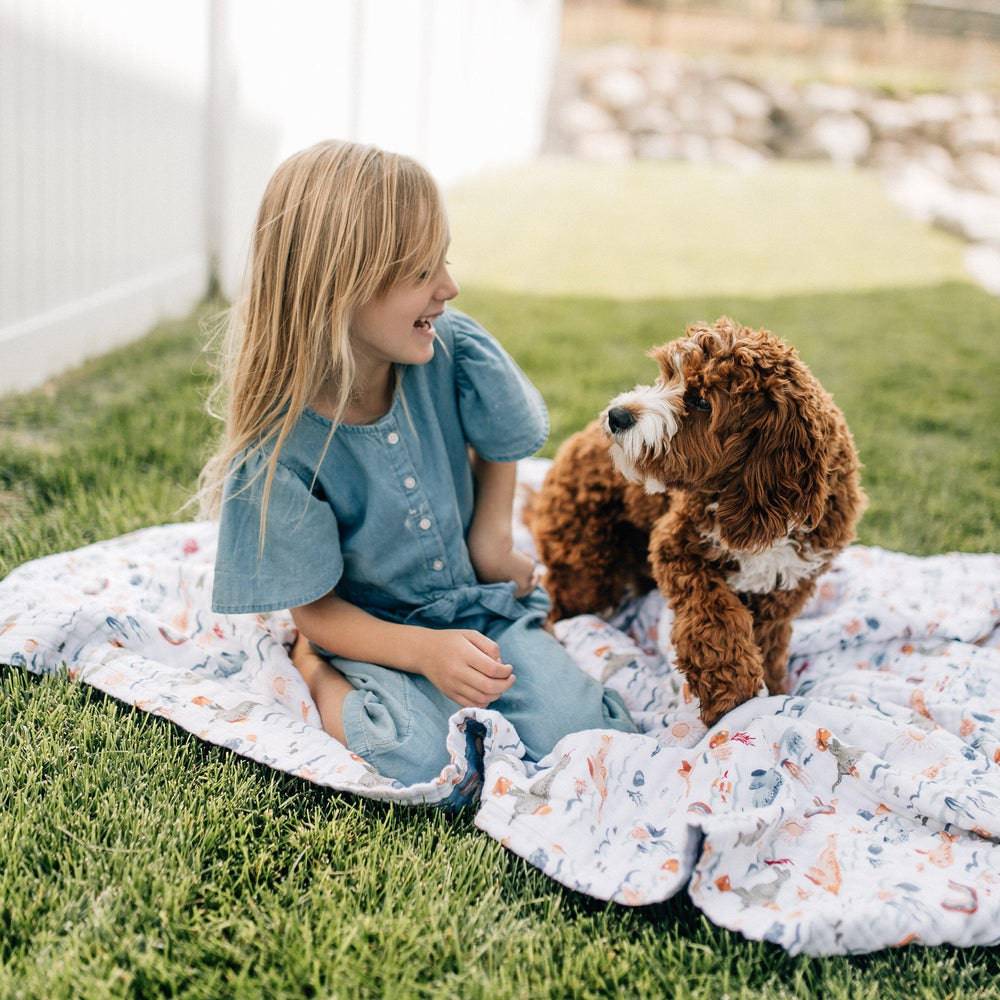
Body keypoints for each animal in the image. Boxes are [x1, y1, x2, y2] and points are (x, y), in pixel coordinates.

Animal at [532, 316, 868, 724]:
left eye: (701, 401)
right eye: (667, 374)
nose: (616, 416)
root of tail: (576, 442)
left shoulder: (787, 583)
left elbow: (768, 640)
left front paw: (772, 689)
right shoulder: (678, 548)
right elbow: (715, 620)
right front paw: (732, 695)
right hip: (585, 564)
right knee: (556, 599)